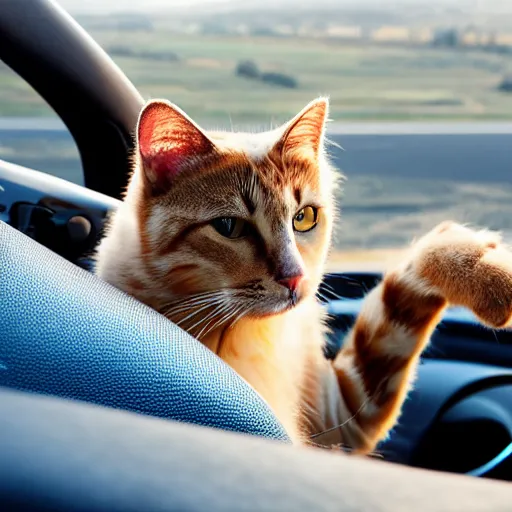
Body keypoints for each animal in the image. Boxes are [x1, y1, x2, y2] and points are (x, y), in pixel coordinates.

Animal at [94, 98, 512, 454]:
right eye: (228, 226)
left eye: (304, 217)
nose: (295, 278)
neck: (253, 333)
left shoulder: (344, 413)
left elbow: (409, 278)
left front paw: (487, 268)